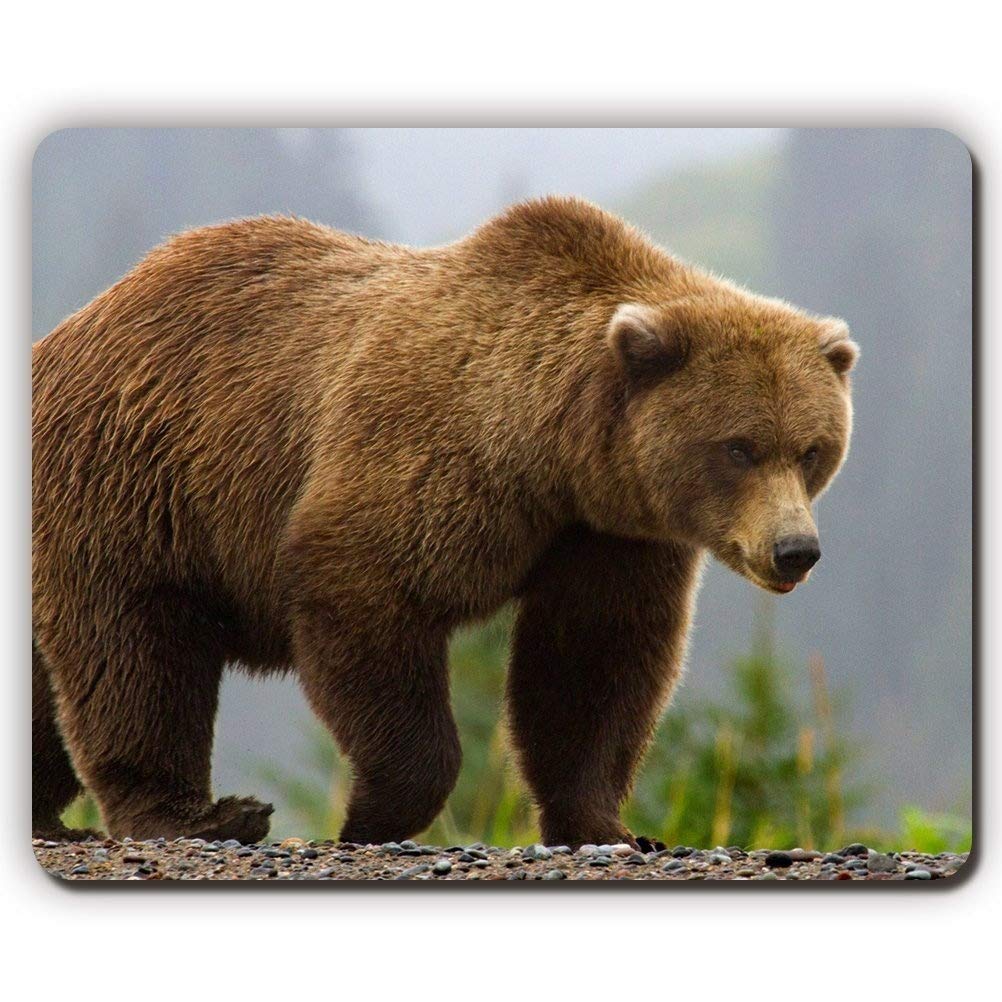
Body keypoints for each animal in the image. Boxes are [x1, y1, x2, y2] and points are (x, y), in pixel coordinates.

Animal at [32, 196, 857, 848]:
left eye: (813, 448)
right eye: (739, 447)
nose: (795, 550)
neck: (553, 451)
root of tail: (67, 330)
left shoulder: (609, 533)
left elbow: (593, 662)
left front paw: (607, 825)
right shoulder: (430, 456)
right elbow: (366, 595)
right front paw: (372, 814)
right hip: (136, 484)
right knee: (136, 653)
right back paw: (200, 815)